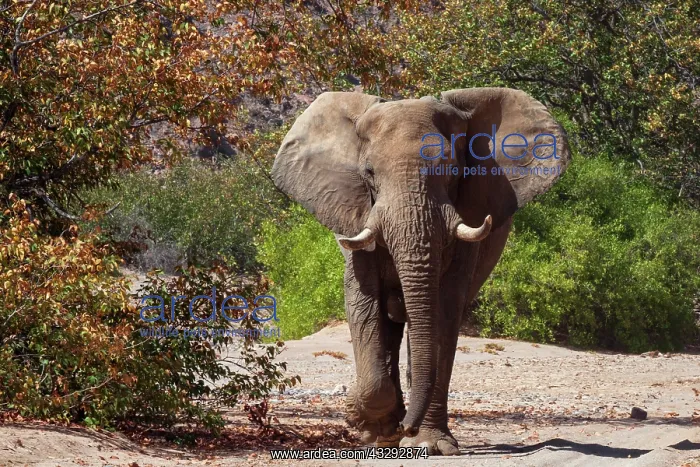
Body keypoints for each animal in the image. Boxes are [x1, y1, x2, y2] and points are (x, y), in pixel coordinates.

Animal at [271, 88, 570, 455]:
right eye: (369, 172)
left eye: (453, 171)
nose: (406, 427)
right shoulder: (357, 216)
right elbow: (363, 302)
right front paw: (366, 423)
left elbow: (443, 308)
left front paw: (427, 443)